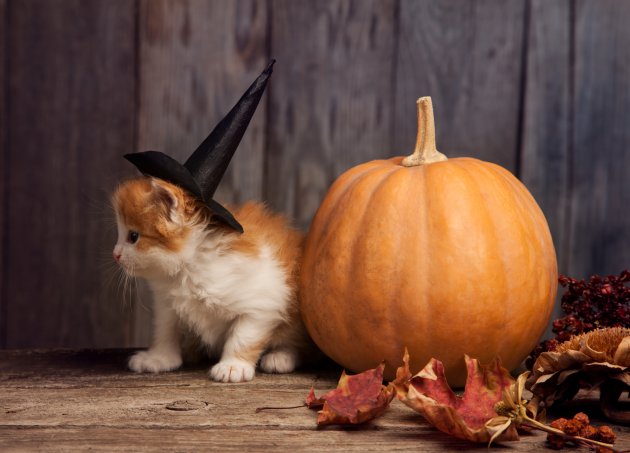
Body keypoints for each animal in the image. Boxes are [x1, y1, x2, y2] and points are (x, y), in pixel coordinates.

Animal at [113, 177, 314, 382]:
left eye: (133, 236)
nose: (115, 254)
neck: (188, 270)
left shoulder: (262, 302)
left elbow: (243, 336)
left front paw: (233, 366)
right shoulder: (167, 305)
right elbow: (165, 330)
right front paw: (159, 358)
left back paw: (280, 357)